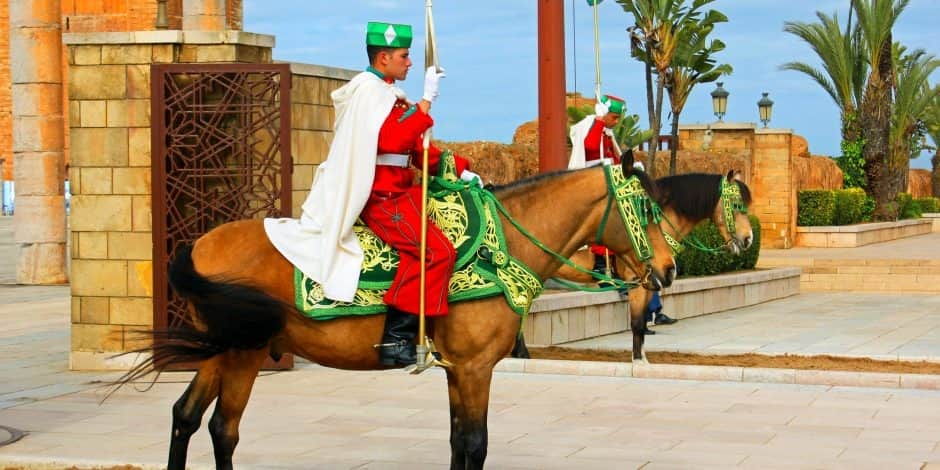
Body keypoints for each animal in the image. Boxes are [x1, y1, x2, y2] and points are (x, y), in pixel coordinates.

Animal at [130, 159, 676, 470]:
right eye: (648, 209)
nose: (669, 269)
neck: (502, 244)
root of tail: (198, 245)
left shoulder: (457, 369)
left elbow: (457, 442)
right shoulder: (476, 369)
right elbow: (475, 444)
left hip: (221, 349)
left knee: (185, 417)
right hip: (245, 352)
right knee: (223, 430)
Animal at [516, 171, 756, 362]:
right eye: (737, 205)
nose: (748, 239)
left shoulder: (651, 281)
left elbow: (641, 322)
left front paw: (641, 357)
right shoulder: (638, 283)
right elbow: (637, 323)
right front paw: (639, 361)